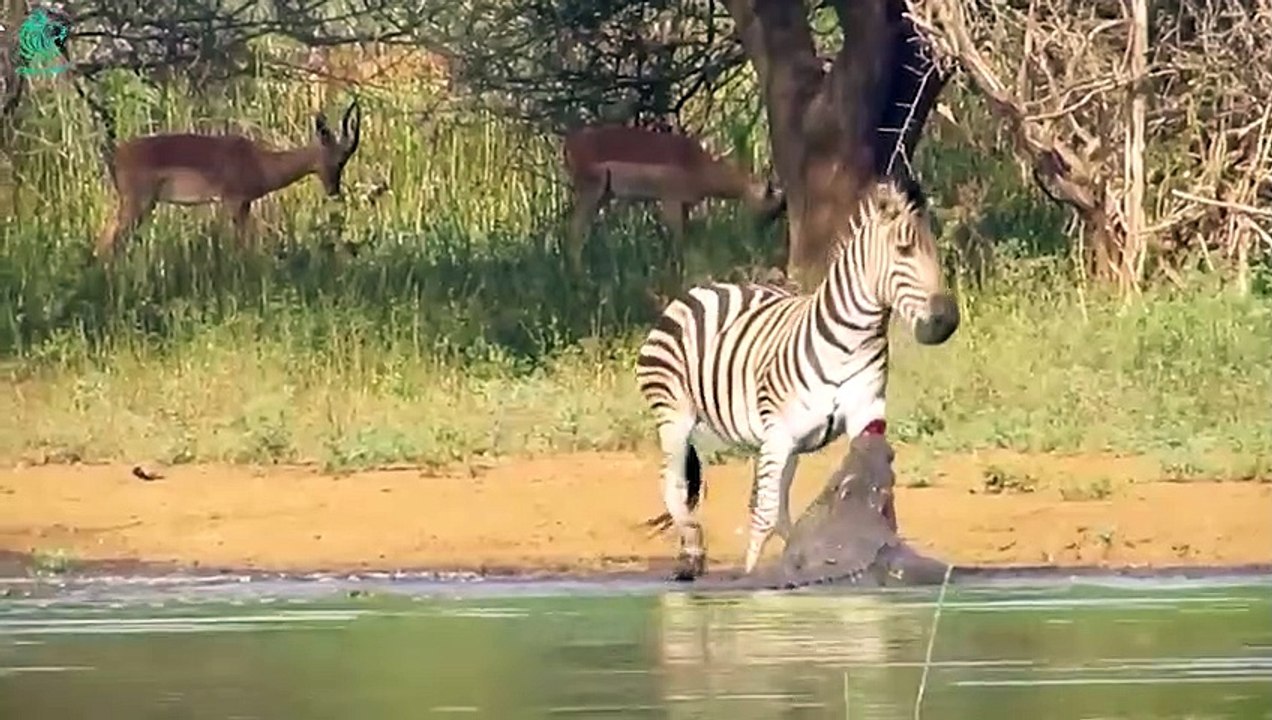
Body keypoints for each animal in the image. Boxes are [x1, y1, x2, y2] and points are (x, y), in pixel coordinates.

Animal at [634, 177, 960, 580]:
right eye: (904, 249)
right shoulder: (779, 433)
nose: (946, 321)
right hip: (675, 414)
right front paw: (752, 581)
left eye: (934, 247)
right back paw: (693, 551)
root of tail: (706, 288)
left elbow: (872, 501)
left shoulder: (864, 415)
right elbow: (762, 516)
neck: (849, 342)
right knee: (676, 486)